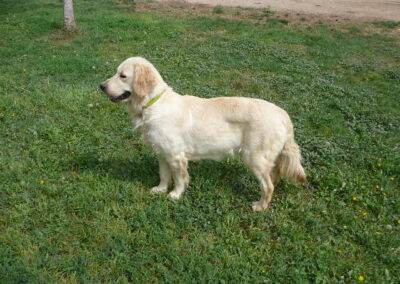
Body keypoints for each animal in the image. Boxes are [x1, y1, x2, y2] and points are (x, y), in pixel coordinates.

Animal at [100, 56, 306, 211]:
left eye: (123, 76)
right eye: (116, 73)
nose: (101, 86)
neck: (153, 104)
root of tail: (283, 114)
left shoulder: (176, 156)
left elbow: (179, 179)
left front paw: (175, 195)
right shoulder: (162, 153)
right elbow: (164, 175)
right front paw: (160, 189)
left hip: (254, 157)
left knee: (268, 185)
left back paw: (260, 206)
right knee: (274, 177)